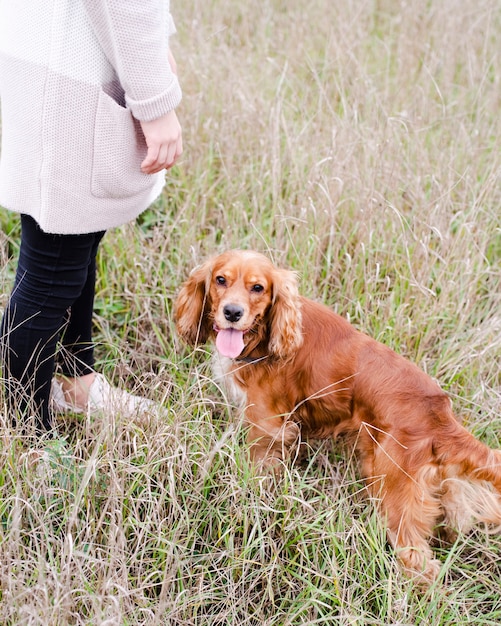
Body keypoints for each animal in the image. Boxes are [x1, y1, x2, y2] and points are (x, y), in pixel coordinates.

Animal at [175, 247, 500, 580]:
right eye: (220, 280)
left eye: (258, 288)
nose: (232, 312)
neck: (267, 334)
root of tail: (440, 414)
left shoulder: (266, 423)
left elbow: (258, 467)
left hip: (394, 492)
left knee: (418, 559)